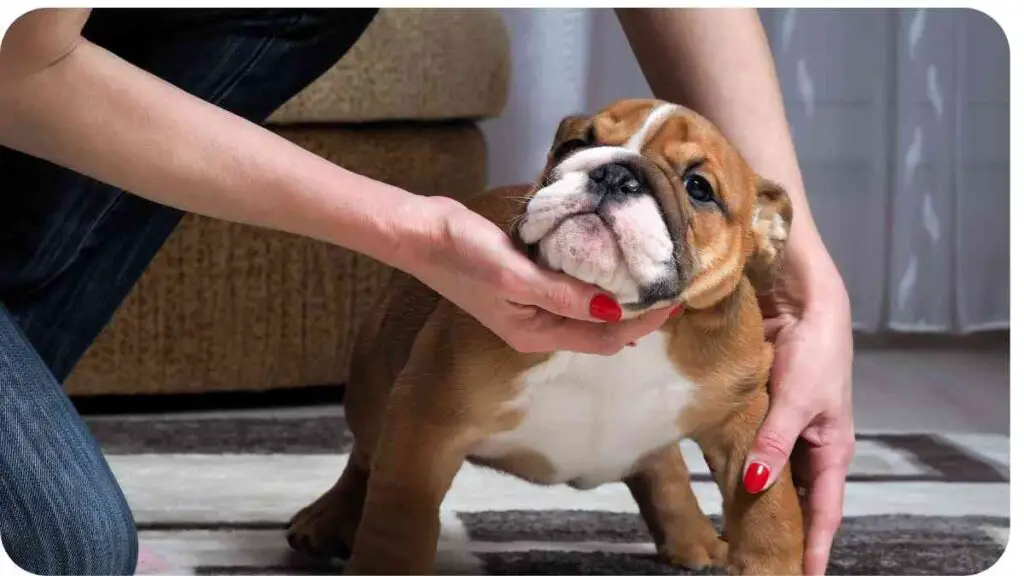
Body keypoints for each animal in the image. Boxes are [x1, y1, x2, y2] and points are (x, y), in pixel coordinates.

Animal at [284, 99, 802, 573]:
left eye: (699, 188)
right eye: (576, 145)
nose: (615, 174)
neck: (618, 321)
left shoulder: (746, 422)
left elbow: (770, 509)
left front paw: (770, 561)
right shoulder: (424, 418)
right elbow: (397, 518)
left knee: (664, 464)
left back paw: (694, 537)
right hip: (373, 379)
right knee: (365, 456)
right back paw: (326, 520)